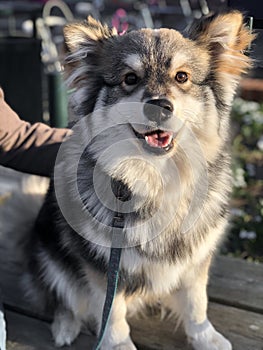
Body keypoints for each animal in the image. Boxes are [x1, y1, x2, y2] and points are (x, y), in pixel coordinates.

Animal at [25, 10, 255, 350]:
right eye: (130, 79)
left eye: (182, 77)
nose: (159, 107)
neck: (156, 176)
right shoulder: (101, 264)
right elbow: (112, 310)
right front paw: (118, 343)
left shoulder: (196, 259)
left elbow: (196, 301)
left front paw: (204, 335)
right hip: (47, 252)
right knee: (62, 296)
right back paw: (65, 325)